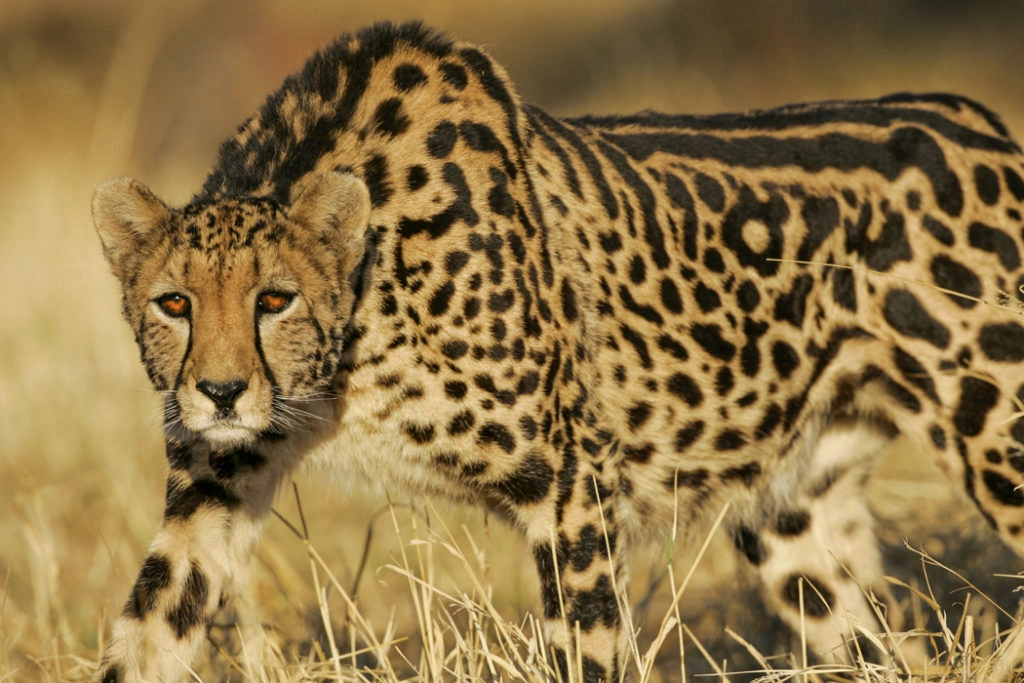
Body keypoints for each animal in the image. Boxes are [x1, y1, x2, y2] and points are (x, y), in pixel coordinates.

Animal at [90, 20, 1024, 683]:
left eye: (274, 299)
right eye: (174, 304)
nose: (219, 392)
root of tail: (981, 121)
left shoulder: (574, 483)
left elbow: (588, 650)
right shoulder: (213, 491)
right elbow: (146, 630)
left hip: (999, 440)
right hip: (792, 520)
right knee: (891, 653)